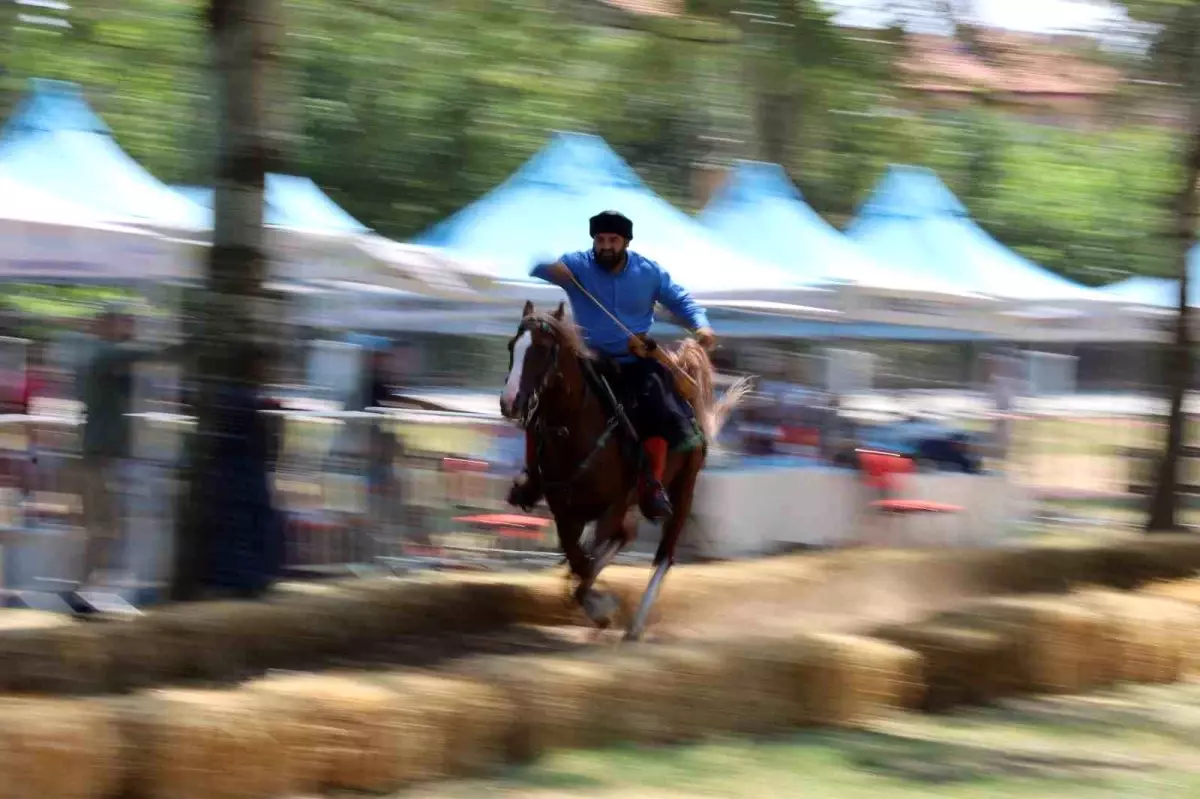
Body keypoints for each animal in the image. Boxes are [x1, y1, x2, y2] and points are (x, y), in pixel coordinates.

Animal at [499, 302, 748, 638]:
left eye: (542, 348)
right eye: (512, 346)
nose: (510, 402)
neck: (576, 429)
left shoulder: (613, 506)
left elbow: (585, 566)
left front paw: (602, 607)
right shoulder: (565, 512)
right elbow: (579, 560)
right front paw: (597, 602)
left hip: (683, 489)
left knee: (664, 555)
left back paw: (636, 624)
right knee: (623, 538)